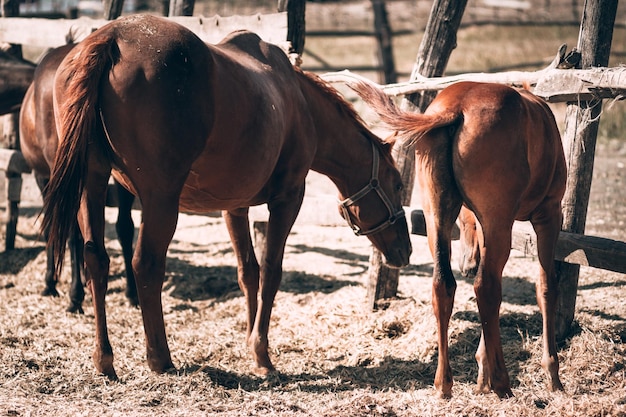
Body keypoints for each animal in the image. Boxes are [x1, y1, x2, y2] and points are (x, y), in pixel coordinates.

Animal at [46, 15, 412, 380]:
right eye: (397, 184)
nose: (405, 251)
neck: (299, 104)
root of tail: (111, 38)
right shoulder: (288, 199)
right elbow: (271, 270)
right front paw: (262, 354)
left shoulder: (234, 207)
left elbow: (247, 272)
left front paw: (252, 343)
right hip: (160, 199)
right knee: (146, 264)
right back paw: (160, 358)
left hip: (92, 183)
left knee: (96, 259)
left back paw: (104, 358)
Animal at [352, 80, 564, 396]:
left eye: (466, 223)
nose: (467, 261)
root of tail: (456, 108)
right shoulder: (548, 216)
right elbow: (546, 287)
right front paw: (552, 374)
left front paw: (481, 374)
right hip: (499, 221)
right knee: (486, 287)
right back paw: (502, 383)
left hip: (437, 217)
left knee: (444, 285)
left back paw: (444, 384)